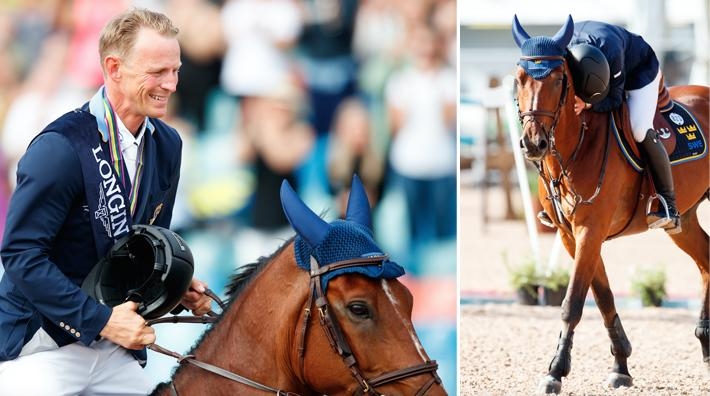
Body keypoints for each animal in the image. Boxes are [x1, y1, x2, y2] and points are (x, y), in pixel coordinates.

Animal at [516, 14, 708, 392]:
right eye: (519, 79)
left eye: (559, 80)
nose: (533, 143)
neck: (574, 146)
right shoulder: (572, 235)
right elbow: (602, 297)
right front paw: (621, 365)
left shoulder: (590, 230)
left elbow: (573, 302)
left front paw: (555, 371)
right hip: (685, 221)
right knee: (706, 262)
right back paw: (705, 341)